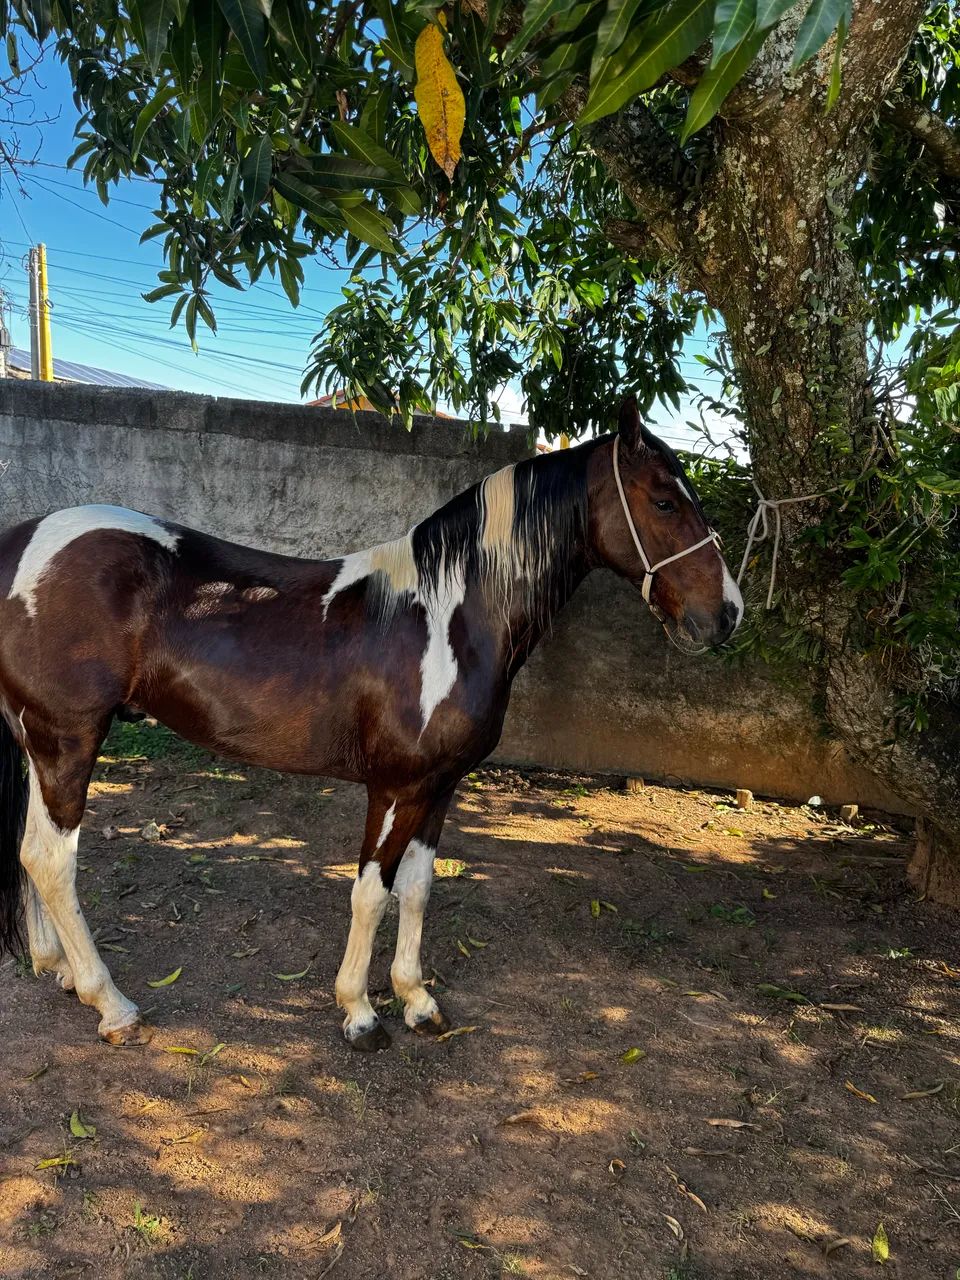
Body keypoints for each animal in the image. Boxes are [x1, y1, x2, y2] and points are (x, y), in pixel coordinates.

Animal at [0, 398, 742, 1051]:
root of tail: (21, 543)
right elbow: (370, 894)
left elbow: (416, 888)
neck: (449, 621)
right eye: (665, 501)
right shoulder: (394, 787)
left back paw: (58, 969)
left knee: (30, 855)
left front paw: (416, 999)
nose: (727, 614)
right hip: (69, 738)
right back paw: (112, 1004)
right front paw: (359, 1012)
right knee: (53, 860)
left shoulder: (438, 787)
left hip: (39, 742)